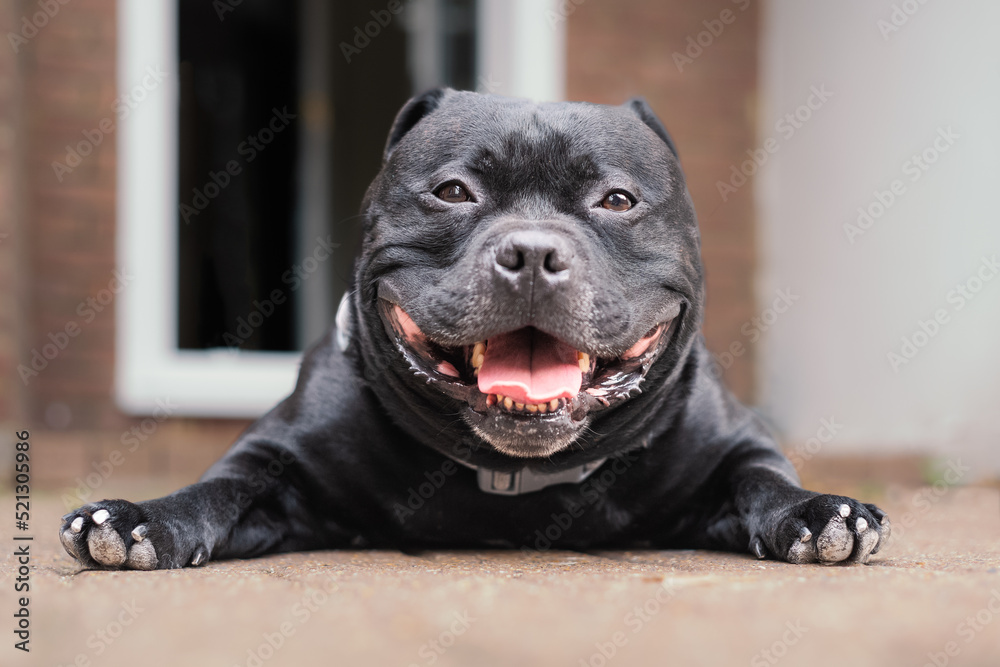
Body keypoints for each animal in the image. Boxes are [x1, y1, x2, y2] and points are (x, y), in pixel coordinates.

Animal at [60, 88, 892, 568]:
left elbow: (761, 476)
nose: (532, 253)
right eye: (454, 191)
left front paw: (816, 509)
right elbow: (220, 488)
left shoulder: (733, 445)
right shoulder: (277, 461)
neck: (513, 477)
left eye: (618, 200)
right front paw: (145, 518)